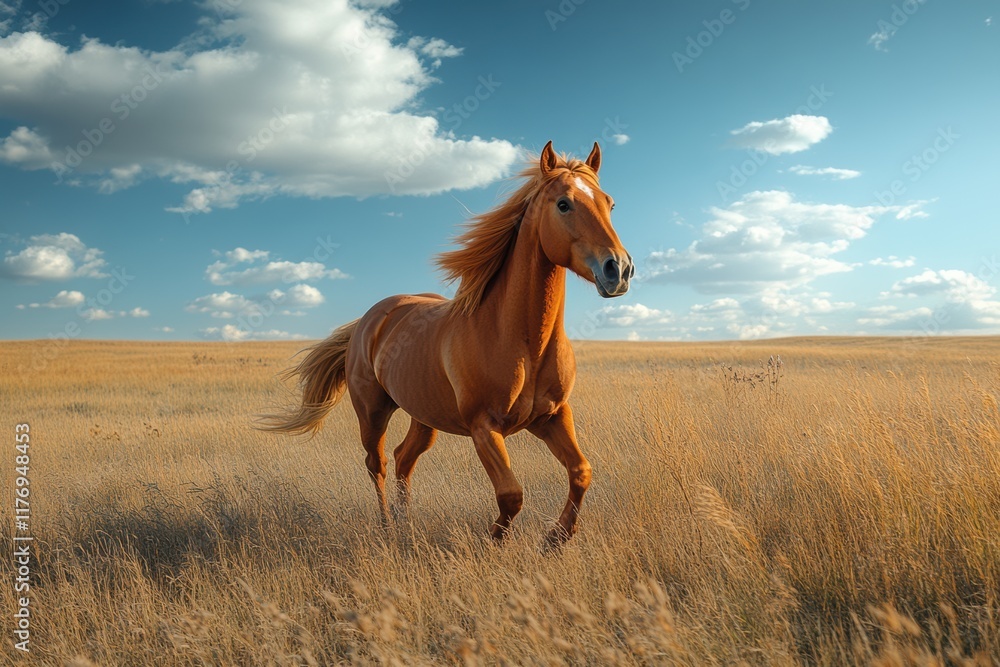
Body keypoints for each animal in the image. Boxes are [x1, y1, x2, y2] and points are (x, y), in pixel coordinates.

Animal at [258, 141, 633, 547]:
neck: (521, 341)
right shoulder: (484, 428)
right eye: (564, 204)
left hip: (424, 417)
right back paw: (387, 526)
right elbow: (511, 495)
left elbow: (581, 472)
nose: (619, 270)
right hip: (372, 412)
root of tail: (369, 320)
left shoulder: (553, 416)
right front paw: (495, 541)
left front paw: (555, 539)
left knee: (404, 458)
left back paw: (406, 522)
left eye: (610, 204)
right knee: (378, 465)